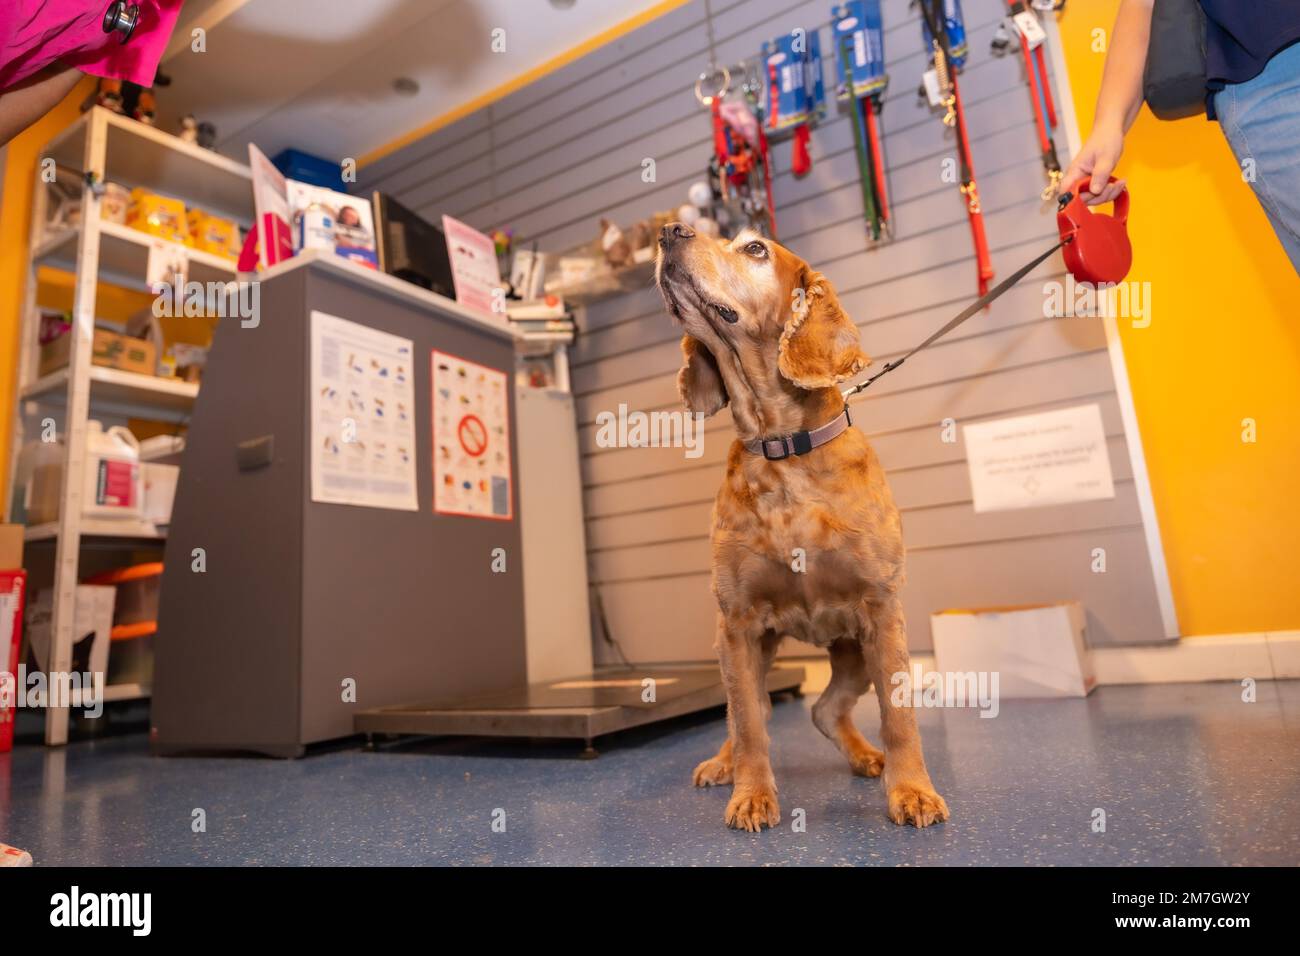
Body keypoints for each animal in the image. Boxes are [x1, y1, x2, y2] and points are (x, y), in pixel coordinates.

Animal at [660, 222, 946, 832]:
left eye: (755, 248)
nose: (669, 230)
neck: (784, 449)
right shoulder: (739, 623)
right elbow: (748, 723)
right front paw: (751, 795)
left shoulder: (881, 613)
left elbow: (900, 716)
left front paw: (911, 791)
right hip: (745, 651)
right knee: (753, 712)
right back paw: (724, 764)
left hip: (854, 651)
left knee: (824, 708)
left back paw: (867, 758)